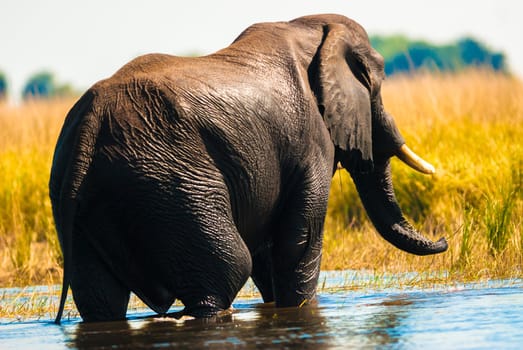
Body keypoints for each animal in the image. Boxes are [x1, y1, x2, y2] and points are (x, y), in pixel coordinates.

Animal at [51, 14, 448, 326]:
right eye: (376, 86)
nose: (444, 239)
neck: (310, 31)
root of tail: (90, 123)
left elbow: (268, 250)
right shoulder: (311, 143)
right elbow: (296, 243)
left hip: (85, 200)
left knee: (99, 297)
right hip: (169, 184)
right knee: (224, 272)